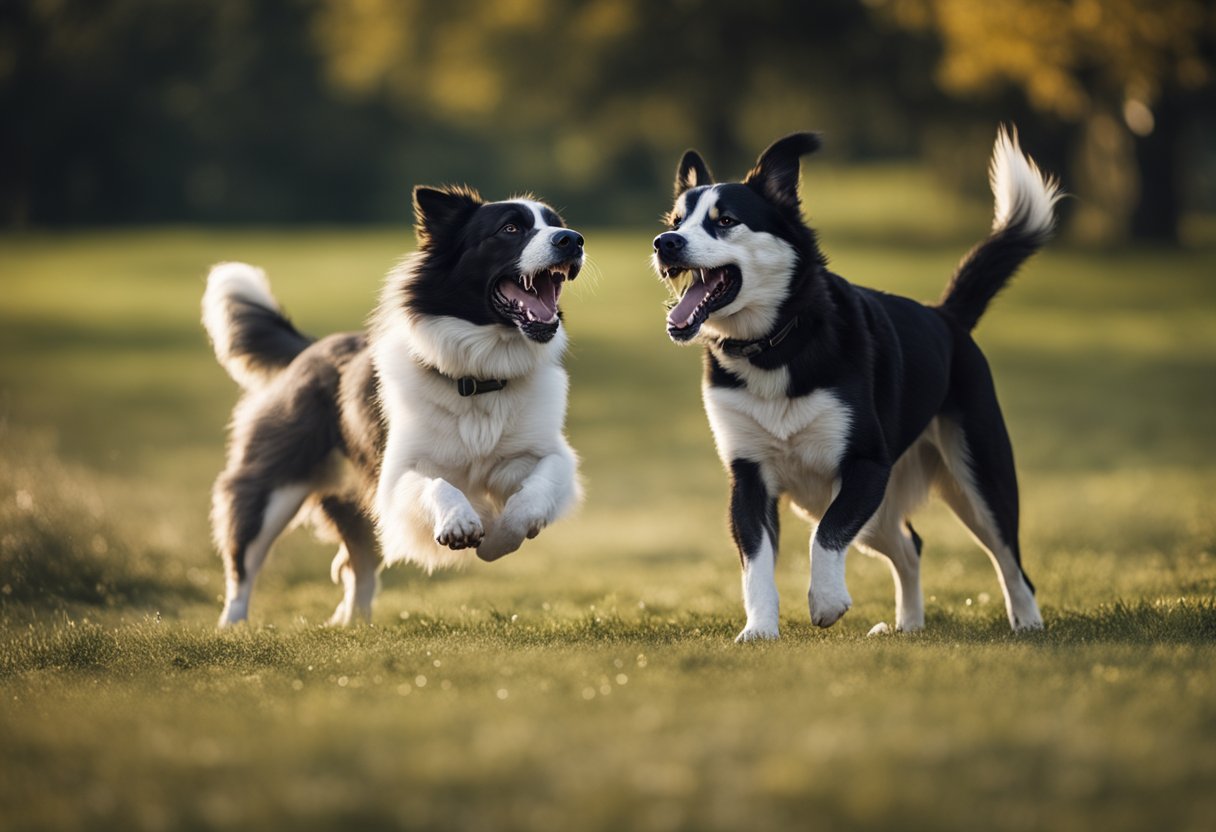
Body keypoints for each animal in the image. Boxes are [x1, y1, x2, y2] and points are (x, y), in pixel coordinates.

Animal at [203, 183, 583, 622]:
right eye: (510, 229)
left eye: (557, 224)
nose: (573, 240)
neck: (480, 378)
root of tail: (311, 348)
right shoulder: (394, 474)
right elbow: (437, 485)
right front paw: (460, 522)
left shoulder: (543, 455)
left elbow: (536, 489)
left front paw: (497, 537)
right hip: (271, 486)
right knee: (243, 565)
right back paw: (233, 626)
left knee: (358, 570)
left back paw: (353, 624)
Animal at [651, 126, 1060, 642]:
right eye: (676, 220)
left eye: (724, 220)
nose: (664, 243)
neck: (776, 346)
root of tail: (946, 317)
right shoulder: (748, 477)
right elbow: (756, 566)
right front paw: (760, 630)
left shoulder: (866, 465)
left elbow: (824, 537)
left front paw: (826, 603)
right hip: (868, 509)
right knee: (910, 545)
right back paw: (907, 627)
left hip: (977, 476)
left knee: (1009, 559)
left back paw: (1029, 624)